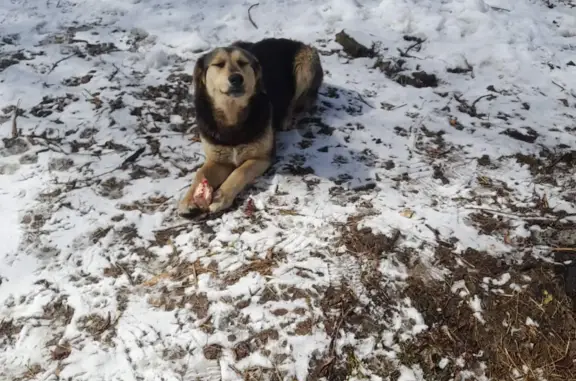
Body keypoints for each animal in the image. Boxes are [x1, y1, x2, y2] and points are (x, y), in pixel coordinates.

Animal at [179, 39, 324, 217]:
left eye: (242, 63)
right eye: (218, 64)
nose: (236, 78)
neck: (232, 115)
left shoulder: (262, 157)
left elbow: (240, 172)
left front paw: (221, 196)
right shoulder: (217, 158)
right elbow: (200, 173)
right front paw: (189, 199)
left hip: (306, 62)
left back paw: (287, 119)